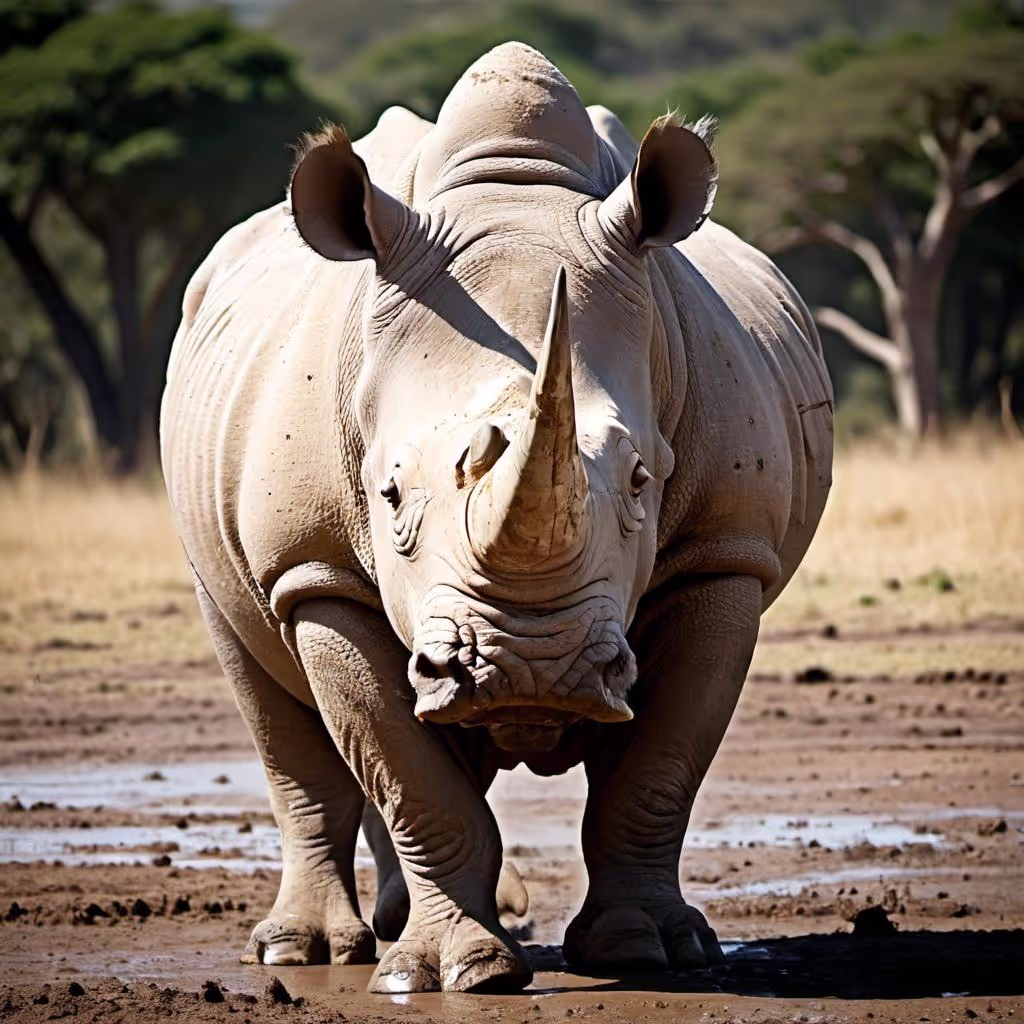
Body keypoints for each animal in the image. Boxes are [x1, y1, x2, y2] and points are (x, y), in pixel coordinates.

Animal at [160, 42, 832, 994]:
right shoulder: (316, 568)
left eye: (641, 481)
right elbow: (407, 771)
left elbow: (658, 770)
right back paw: (310, 949)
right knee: (275, 697)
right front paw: (452, 974)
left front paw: (652, 951)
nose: (530, 669)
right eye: (388, 496)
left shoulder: (725, 553)